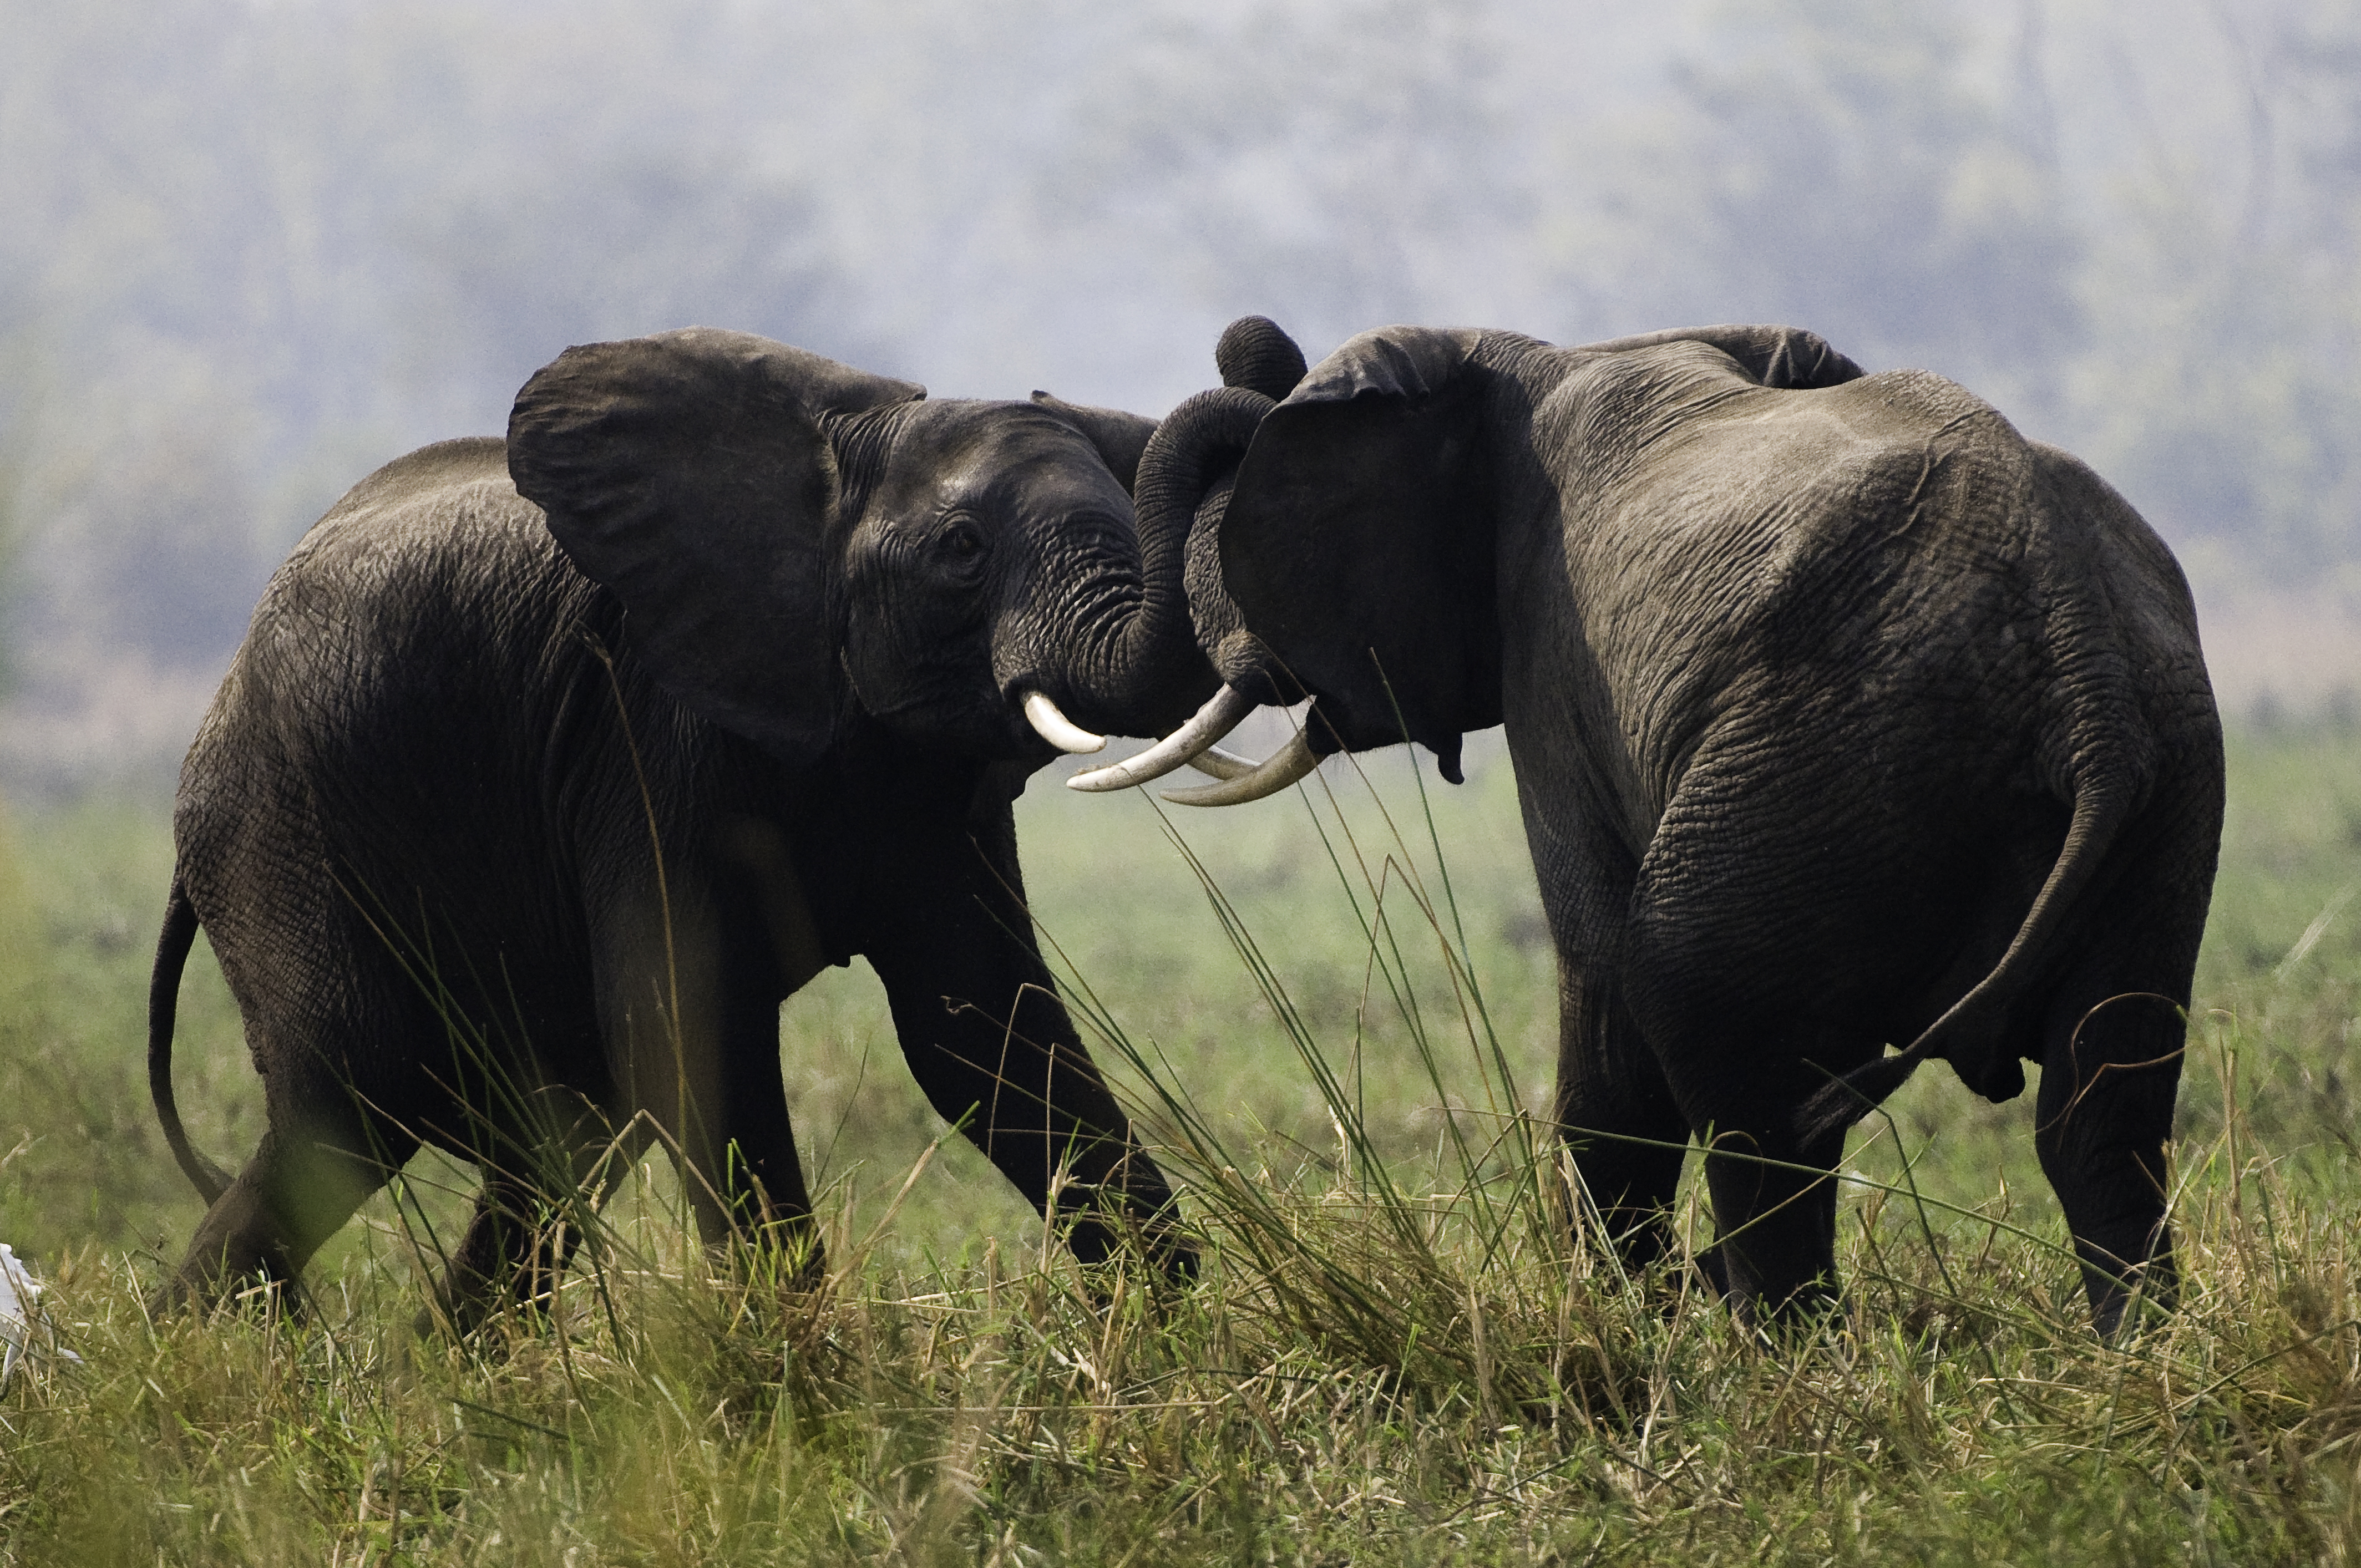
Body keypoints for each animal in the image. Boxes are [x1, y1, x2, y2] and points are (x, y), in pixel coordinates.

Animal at [147, 327, 1222, 1325]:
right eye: (962, 550)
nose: (1242, 356)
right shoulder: (653, 736)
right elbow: (686, 1020)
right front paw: (800, 1368)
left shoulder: (931, 785)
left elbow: (985, 1030)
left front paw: (1161, 1345)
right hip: (276, 822)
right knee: (351, 1101)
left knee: (559, 1139)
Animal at [1080, 316, 2224, 1333]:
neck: (1504, 357)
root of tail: (2082, 658)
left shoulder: (1551, 655)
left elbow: (1599, 981)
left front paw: (1621, 1317)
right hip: (2163, 798)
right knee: (2098, 1112)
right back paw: (2132, 1357)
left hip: (1825, 765)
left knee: (1727, 1055)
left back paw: (1779, 1355)